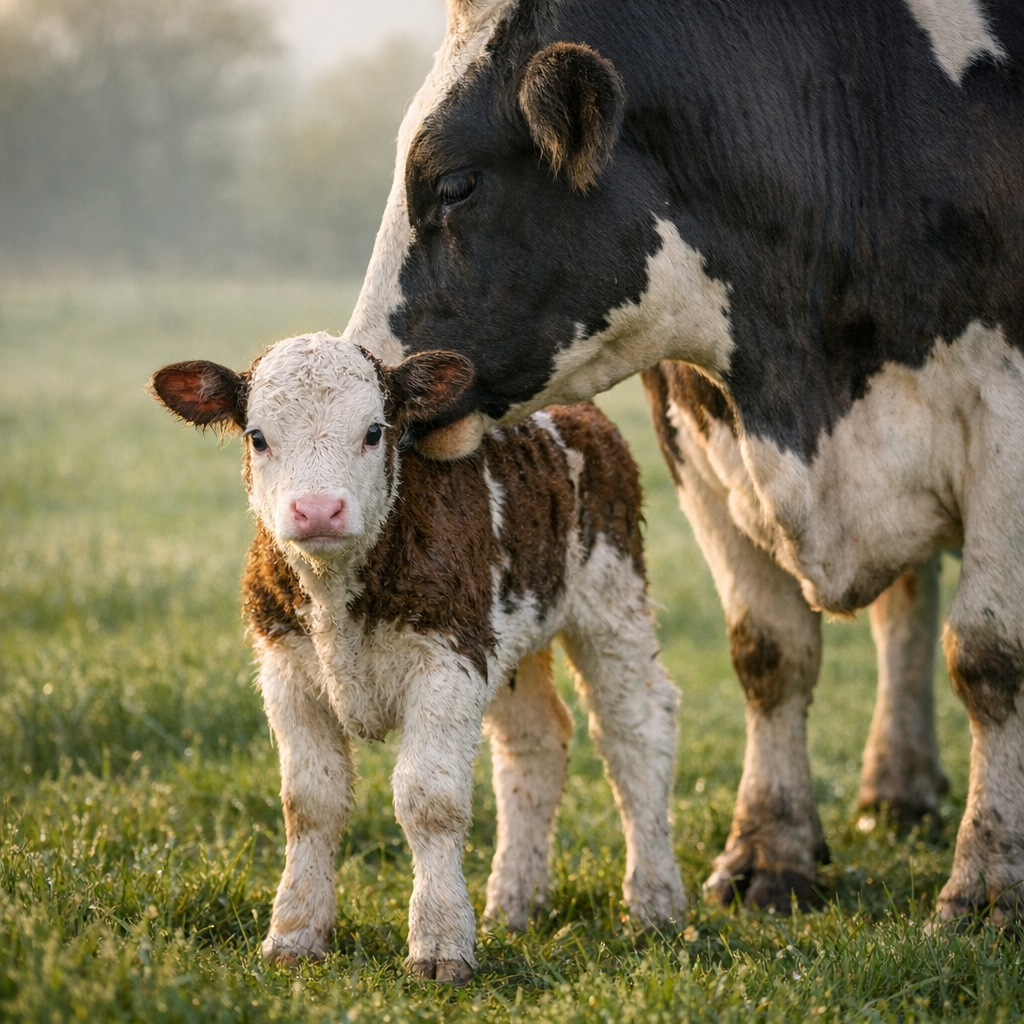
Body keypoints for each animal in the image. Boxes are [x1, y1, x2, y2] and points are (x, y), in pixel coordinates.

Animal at [149, 332, 685, 983]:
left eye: (374, 431)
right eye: (257, 436)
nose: (318, 510)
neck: (337, 593)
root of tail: (576, 411)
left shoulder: (448, 660)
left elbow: (428, 800)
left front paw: (439, 943)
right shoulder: (285, 669)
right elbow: (310, 802)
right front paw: (294, 934)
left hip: (611, 600)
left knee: (635, 732)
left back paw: (655, 902)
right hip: (511, 636)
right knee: (533, 742)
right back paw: (514, 902)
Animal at [339, 0, 1024, 922]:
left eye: (454, 183)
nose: (377, 383)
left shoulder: (1005, 422)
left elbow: (989, 655)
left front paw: (985, 880)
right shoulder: (694, 422)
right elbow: (769, 652)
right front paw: (770, 851)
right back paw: (897, 784)